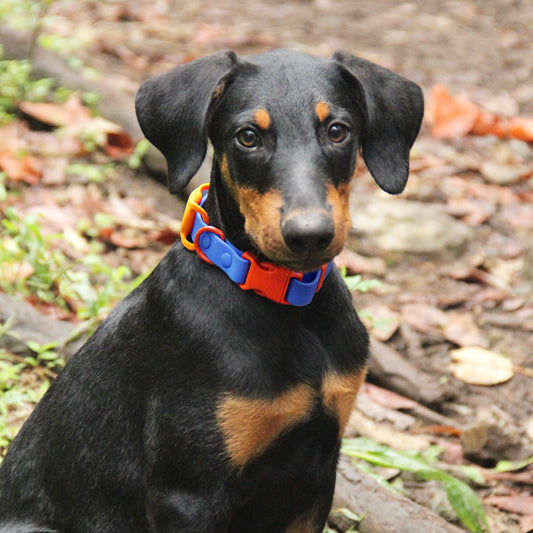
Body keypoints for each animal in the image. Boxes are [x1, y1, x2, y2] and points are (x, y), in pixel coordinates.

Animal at [0, 47, 424, 528]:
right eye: (247, 137)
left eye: (338, 131)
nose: (309, 235)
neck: (286, 300)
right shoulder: (188, 492)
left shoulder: (317, 472)